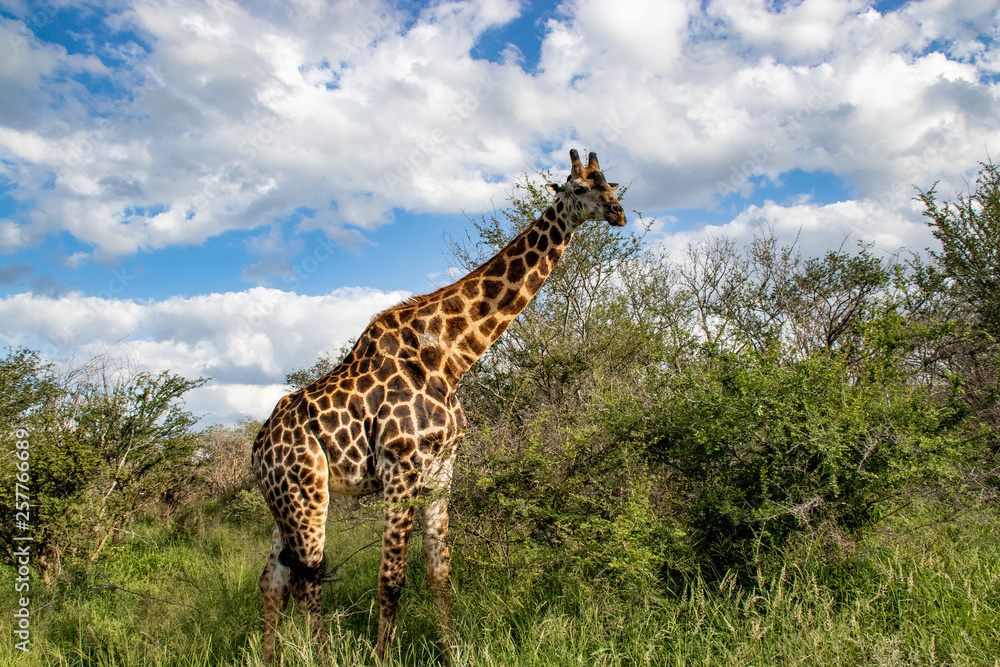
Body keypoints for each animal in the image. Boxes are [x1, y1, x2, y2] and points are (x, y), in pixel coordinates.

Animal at [251, 149, 626, 663]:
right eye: (577, 188)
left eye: (609, 182)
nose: (618, 213)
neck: (450, 356)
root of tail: (257, 448)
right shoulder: (401, 469)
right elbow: (391, 579)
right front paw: (382, 657)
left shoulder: (441, 471)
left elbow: (440, 572)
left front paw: (450, 651)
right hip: (307, 495)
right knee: (307, 581)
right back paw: (323, 656)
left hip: (283, 501)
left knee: (273, 580)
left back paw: (270, 657)